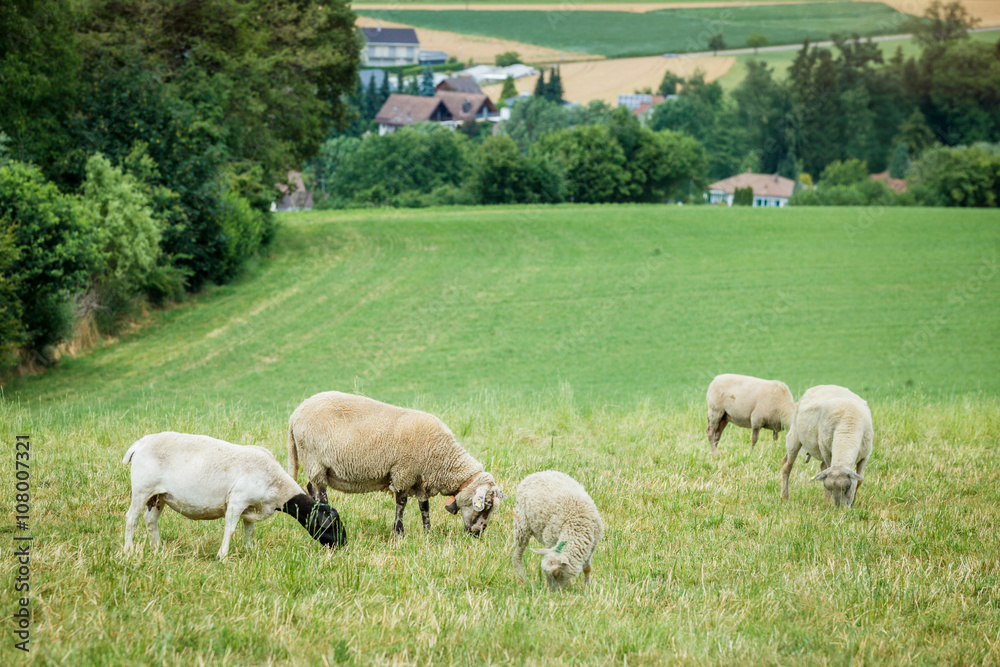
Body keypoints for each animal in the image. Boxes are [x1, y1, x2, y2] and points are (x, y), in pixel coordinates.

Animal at [124, 434, 348, 560]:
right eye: (332, 525)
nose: (344, 544)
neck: (277, 485)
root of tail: (139, 444)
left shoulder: (250, 507)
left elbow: (249, 530)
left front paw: (250, 552)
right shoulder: (237, 501)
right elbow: (230, 529)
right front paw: (222, 556)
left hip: (158, 496)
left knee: (150, 521)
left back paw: (158, 550)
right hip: (142, 489)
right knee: (131, 519)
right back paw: (128, 551)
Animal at [288, 392, 508, 536]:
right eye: (486, 506)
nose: (478, 534)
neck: (443, 456)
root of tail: (295, 413)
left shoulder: (420, 479)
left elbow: (424, 506)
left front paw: (428, 532)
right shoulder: (403, 472)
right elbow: (401, 502)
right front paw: (398, 532)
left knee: (311, 488)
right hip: (315, 461)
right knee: (320, 492)